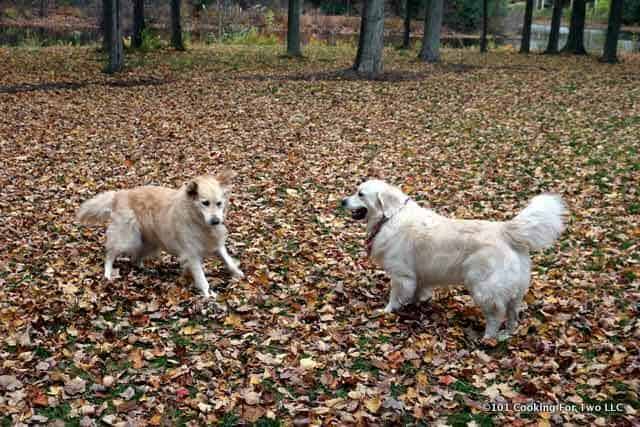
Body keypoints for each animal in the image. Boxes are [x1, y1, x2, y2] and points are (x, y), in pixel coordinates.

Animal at [75, 172, 245, 300]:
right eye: (205, 203)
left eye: (219, 203)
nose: (216, 221)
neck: (196, 218)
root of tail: (119, 194)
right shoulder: (191, 253)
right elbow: (202, 278)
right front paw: (208, 294)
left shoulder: (215, 243)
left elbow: (227, 259)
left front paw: (238, 273)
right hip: (128, 238)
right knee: (111, 254)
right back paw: (108, 274)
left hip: (150, 242)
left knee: (135, 258)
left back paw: (146, 269)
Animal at [342, 181, 568, 342]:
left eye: (360, 194)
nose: (342, 201)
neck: (389, 218)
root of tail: (505, 231)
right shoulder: (419, 275)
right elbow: (416, 292)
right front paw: (414, 304)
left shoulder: (401, 275)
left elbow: (395, 296)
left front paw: (387, 311)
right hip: (516, 290)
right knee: (512, 315)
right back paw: (506, 334)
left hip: (483, 288)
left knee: (496, 315)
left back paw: (488, 338)